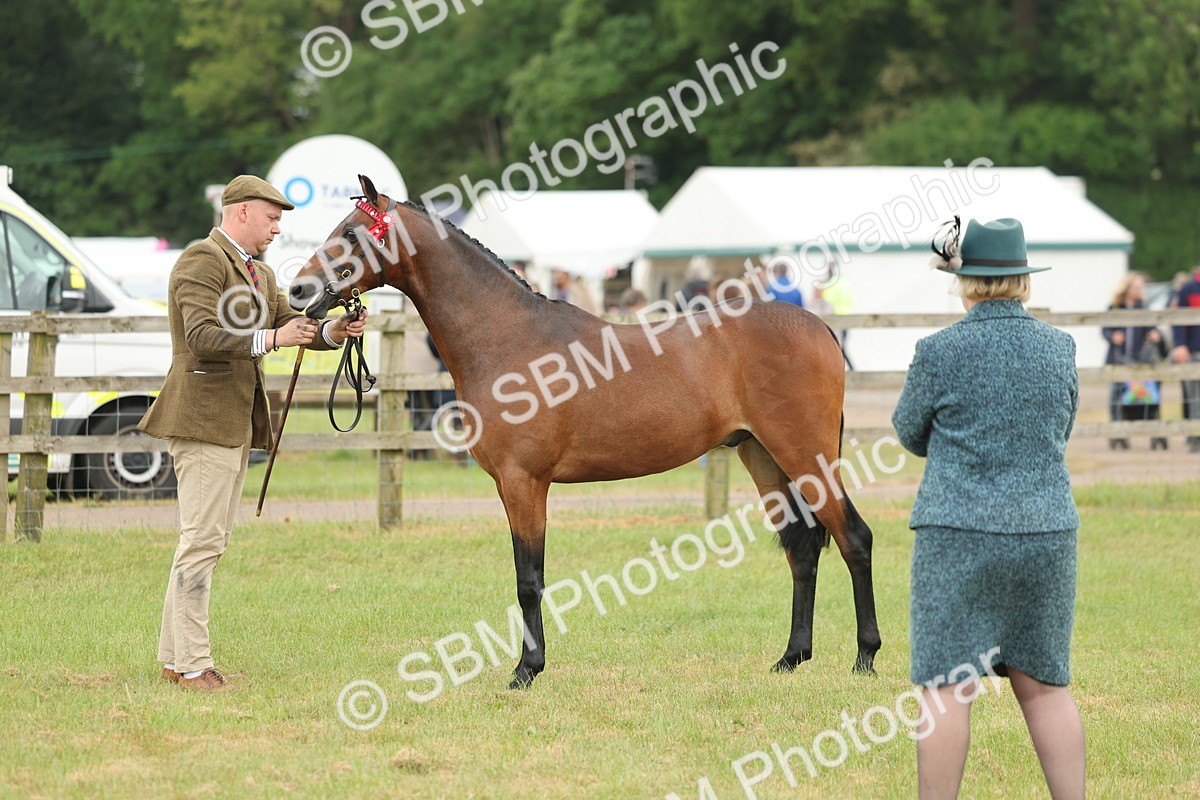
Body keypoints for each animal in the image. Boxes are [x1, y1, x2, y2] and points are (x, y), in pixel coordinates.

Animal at [289, 175, 880, 688]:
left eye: (351, 232)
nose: (297, 289)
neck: (508, 338)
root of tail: (819, 328)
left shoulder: (522, 482)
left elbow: (529, 580)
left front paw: (526, 671)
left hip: (805, 453)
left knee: (854, 538)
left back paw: (865, 657)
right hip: (763, 456)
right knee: (802, 549)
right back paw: (791, 657)